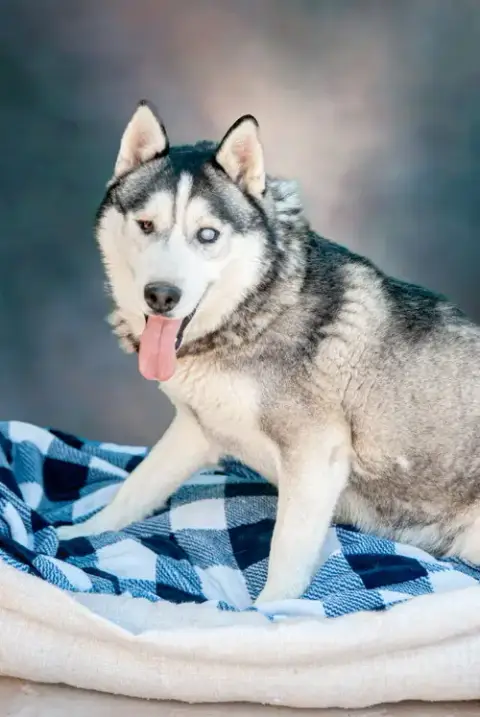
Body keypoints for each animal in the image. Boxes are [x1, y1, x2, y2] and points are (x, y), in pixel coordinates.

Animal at [57, 100, 480, 603]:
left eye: (207, 235)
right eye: (145, 225)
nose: (160, 296)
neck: (255, 313)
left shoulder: (315, 455)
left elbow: (286, 550)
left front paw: (272, 612)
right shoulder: (196, 429)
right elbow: (136, 487)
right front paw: (80, 532)